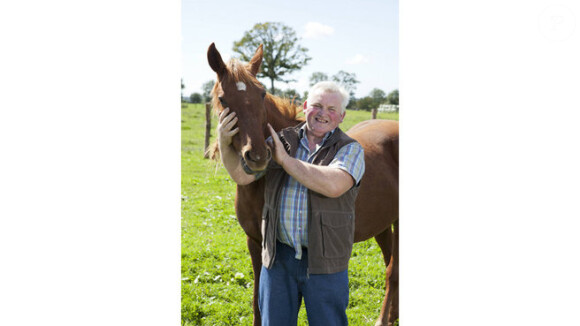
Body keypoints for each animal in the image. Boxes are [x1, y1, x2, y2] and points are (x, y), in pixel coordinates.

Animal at [205, 43, 398, 326]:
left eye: (262, 94)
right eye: (223, 99)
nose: (258, 156)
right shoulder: (256, 242)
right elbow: (257, 301)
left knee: (393, 270)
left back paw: (384, 319)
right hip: (383, 223)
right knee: (390, 264)